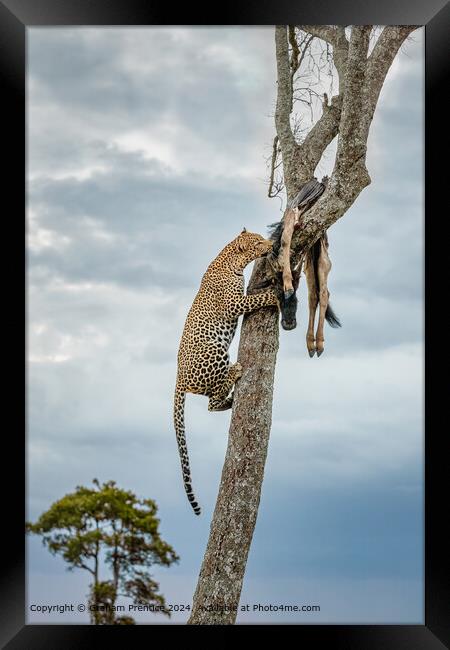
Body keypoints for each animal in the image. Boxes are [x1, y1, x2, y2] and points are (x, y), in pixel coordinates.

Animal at [174, 228, 280, 512]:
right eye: (258, 242)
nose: (272, 244)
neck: (231, 259)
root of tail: (178, 379)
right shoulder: (234, 303)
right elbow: (258, 298)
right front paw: (276, 295)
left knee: (212, 401)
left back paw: (231, 399)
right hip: (215, 349)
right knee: (212, 400)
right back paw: (235, 372)